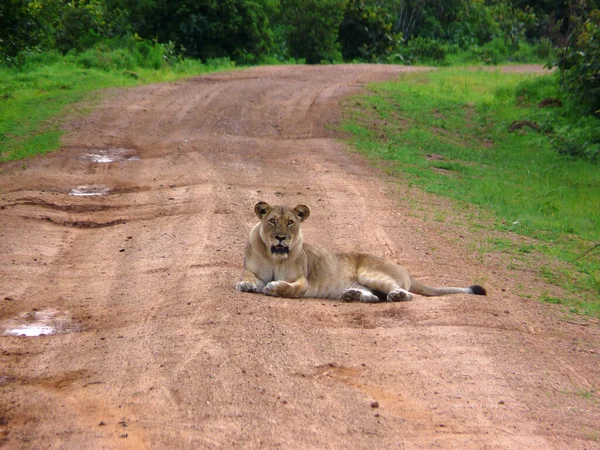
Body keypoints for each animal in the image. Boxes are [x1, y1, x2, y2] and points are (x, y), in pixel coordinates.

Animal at [237, 203, 486, 302]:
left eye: (290, 222)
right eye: (272, 221)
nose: (281, 238)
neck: (274, 256)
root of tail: (405, 271)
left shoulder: (302, 280)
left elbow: (291, 288)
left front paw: (274, 288)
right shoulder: (253, 270)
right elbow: (248, 277)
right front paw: (245, 285)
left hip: (371, 273)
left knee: (405, 294)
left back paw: (396, 296)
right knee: (375, 297)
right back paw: (353, 295)